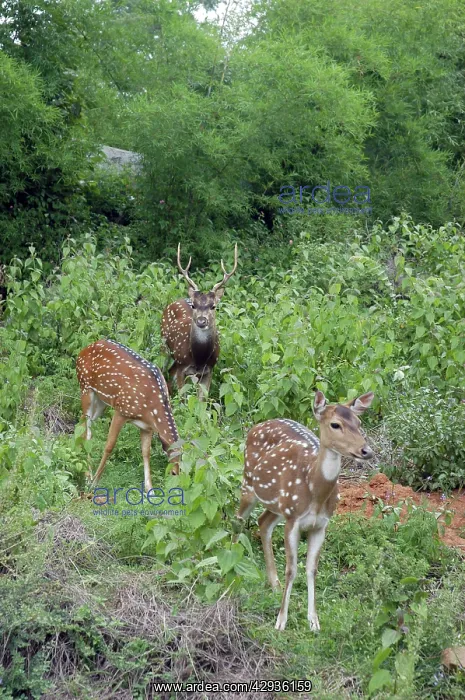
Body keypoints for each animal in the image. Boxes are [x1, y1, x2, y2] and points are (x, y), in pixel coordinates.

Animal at [76, 339, 181, 492]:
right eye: (173, 473)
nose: (179, 486)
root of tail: (82, 351)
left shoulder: (147, 427)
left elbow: (146, 452)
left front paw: (150, 490)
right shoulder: (121, 410)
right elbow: (109, 445)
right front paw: (95, 482)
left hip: (101, 401)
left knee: (83, 425)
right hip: (85, 388)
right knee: (86, 430)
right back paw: (88, 477)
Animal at [161, 243, 238, 399]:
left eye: (213, 306)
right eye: (194, 305)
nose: (202, 321)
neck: (198, 359)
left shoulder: (209, 370)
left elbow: (201, 400)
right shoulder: (182, 366)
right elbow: (184, 399)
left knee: (169, 372)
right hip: (164, 346)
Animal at [236, 390, 374, 632]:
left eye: (358, 423)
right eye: (335, 424)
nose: (366, 450)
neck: (315, 491)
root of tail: (257, 425)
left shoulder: (320, 525)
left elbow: (311, 569)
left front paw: (314, 621)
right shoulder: (293, 521)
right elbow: (292, 569)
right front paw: (281, 621)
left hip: (278, 506)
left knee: (263, 522)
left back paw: (273, 583)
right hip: (248, 484)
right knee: (238, 519)